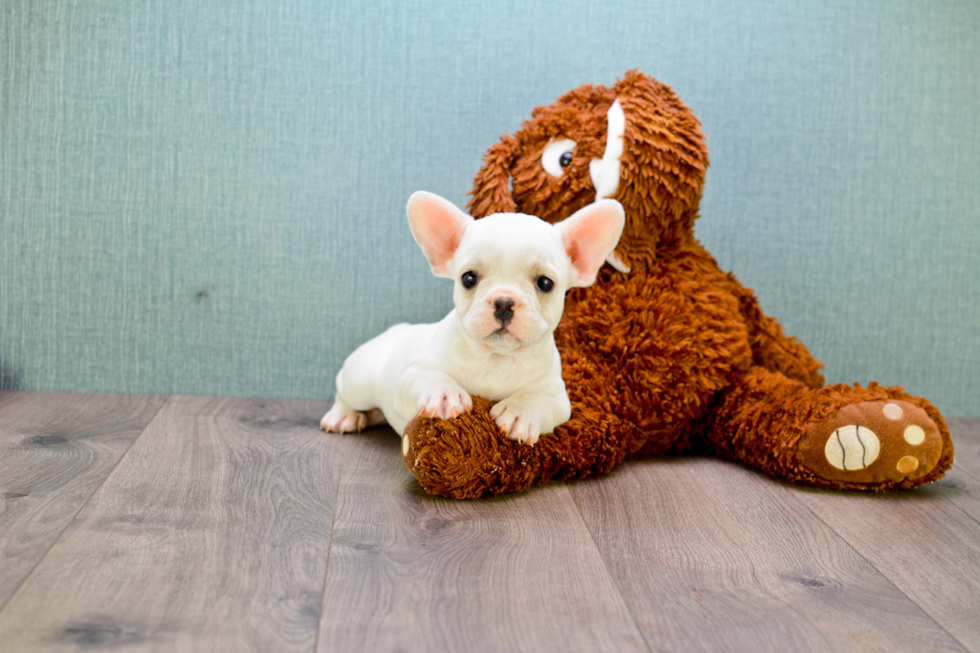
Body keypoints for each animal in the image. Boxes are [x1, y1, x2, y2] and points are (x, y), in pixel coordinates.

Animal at [324, 188, 628, 444]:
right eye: (468, 278)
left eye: (545, 283)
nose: (504, 302)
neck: (498, 358)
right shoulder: (408, 374)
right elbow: (427, 375)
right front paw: (444, 393)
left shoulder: (558, 399)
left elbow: (538, 399)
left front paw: (520, 411)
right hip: (360, 379)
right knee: (343, 389)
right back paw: (343, 416)